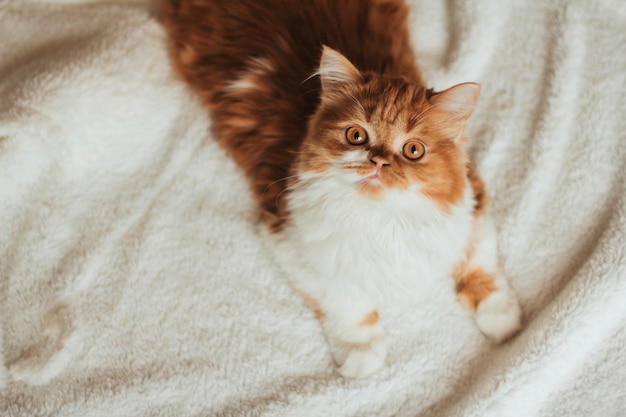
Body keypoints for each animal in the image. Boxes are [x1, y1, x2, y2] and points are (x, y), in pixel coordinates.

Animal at [163, 0, 520, 376]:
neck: (384, 219)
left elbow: (481, 262)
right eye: (356, 135)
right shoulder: (289, 238)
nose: (378, 162)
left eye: (413, 150)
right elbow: (348, 307)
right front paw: (362, 354)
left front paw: (502, 318)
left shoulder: (471, 201)